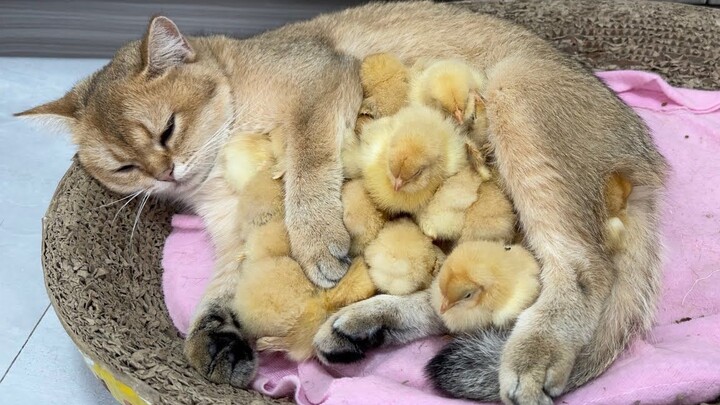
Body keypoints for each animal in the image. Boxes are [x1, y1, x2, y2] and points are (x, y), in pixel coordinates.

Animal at [16, 1, 668, 402]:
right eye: (123, 166)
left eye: (167, 129)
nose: (164, 172)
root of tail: (644, 161)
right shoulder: (234, 234)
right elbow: (220, 286)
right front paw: (215, 336)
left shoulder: (321, 84)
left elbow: (307, 162)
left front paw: (315, 239)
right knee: (483, 291)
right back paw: (366, 327)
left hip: (518, 111)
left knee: (582, 271)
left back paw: (534, 354)